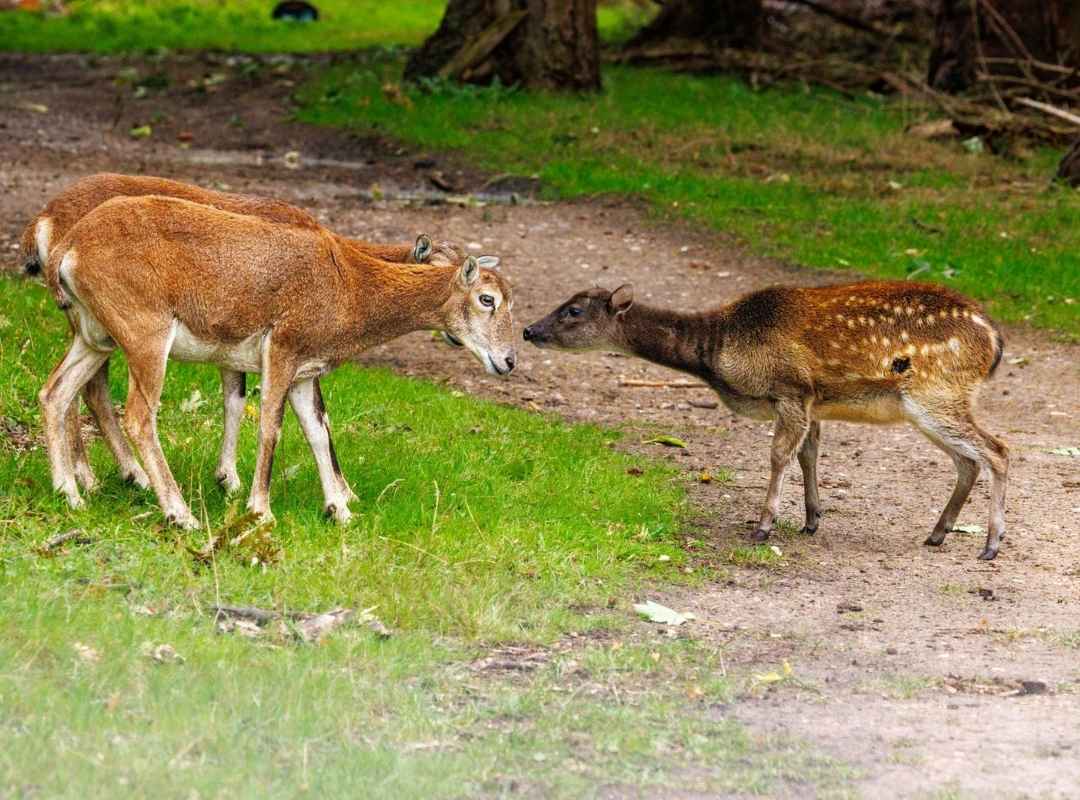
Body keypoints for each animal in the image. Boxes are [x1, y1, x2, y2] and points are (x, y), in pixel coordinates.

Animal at [40, 194, 516, 528]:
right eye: (486, 299)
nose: (508, 360)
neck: (351, 289)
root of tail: (67, 247)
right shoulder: (283, 348)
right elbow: (271, 426)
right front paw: (261, 511)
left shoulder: (305, 370)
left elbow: (318, 431)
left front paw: (340, 511)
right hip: (144, 333)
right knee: (138, 414)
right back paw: (179, 514)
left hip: (95, 335)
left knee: (55, 393)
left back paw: (71, 494)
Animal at [523, 281, 1009, 560]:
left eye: (573, 311)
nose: (528, 330)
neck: (720, 349)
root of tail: (994, 340)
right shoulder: (812, 402)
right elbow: (809, 455)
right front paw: (812, 519)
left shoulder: (791, 389)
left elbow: (778, 457)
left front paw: (763, 526)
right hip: (927, 404)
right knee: (968, 461)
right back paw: (937, 534)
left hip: (936, 393)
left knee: (998, 450)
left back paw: (990, 546)